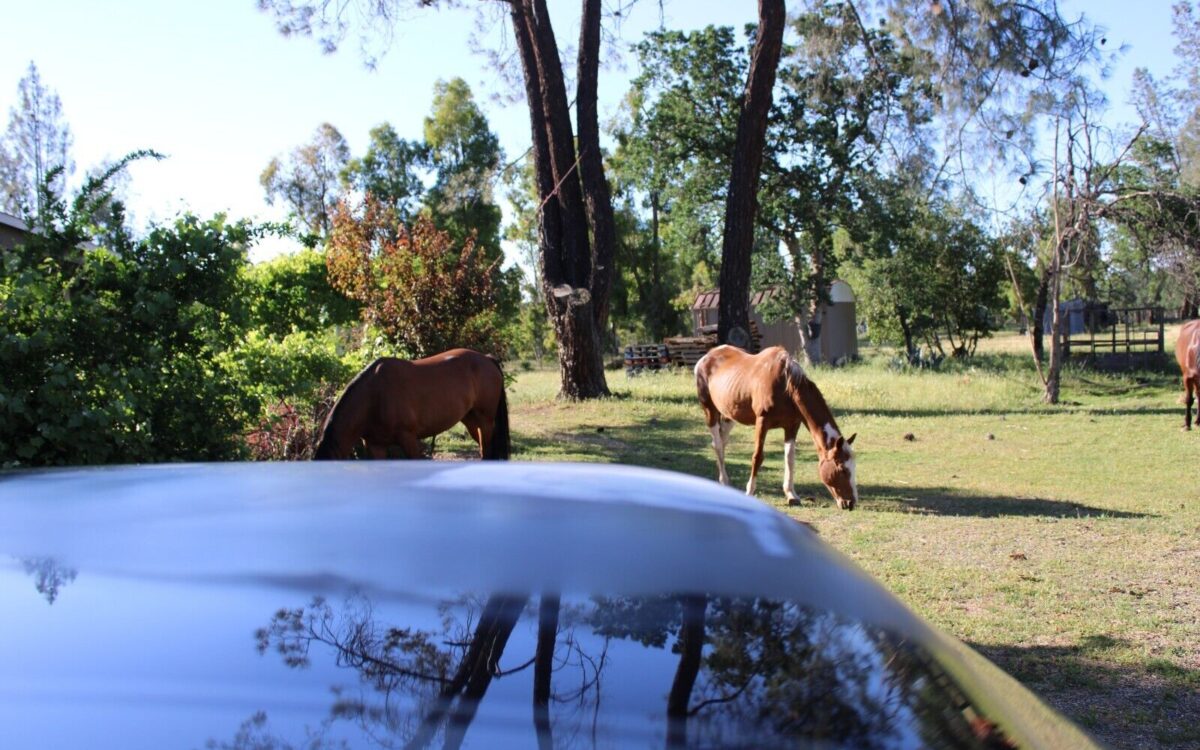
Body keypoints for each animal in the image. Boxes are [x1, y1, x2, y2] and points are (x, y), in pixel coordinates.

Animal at [312, 348, 508, 458]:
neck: (374, 397)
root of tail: (487, 359)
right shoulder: (375, 446)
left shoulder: (408, 439)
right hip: (472, 422)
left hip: (485, 422)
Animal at [700, 345, 859, 508]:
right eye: (842, 469)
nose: (850, 503)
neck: (786, 386)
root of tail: (707, 356)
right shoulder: (762, 422)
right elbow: (757, 457)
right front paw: (749, 492)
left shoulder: (792, 426)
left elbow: (790, 459)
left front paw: (791, 495)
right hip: (710, 411)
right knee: (718, 444)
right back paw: (724, 481)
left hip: (729, 416)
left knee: (722, 441)